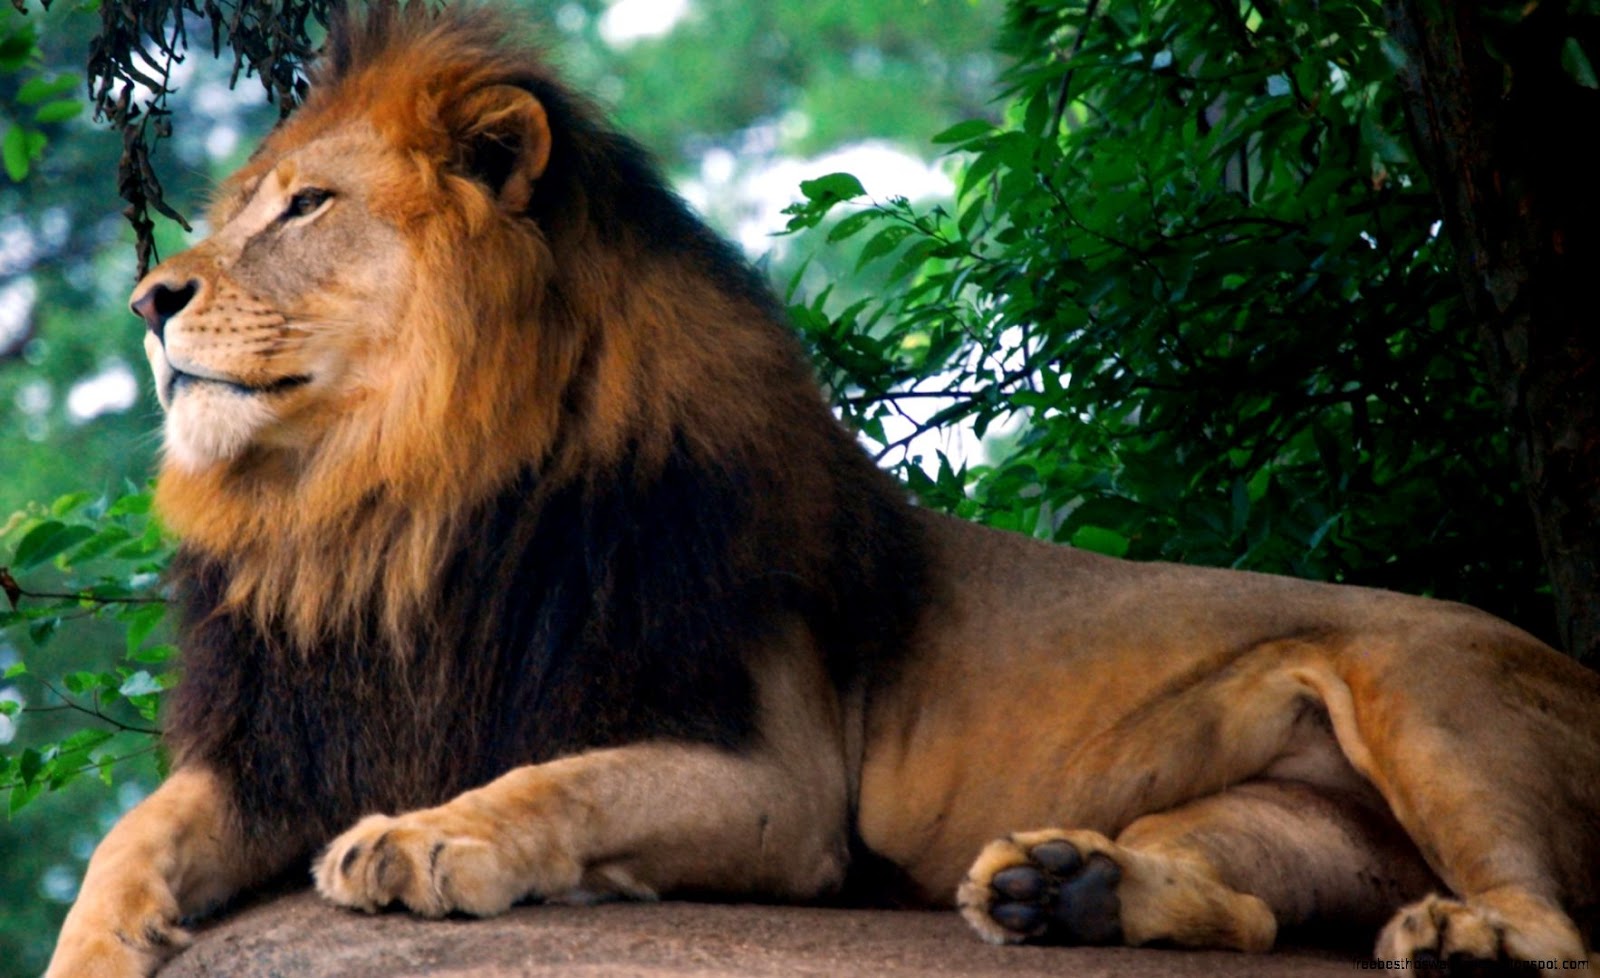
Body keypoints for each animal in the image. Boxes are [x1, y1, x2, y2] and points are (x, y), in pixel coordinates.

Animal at [47, 5, 1600, 977]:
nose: (149, 297)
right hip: (1285, 818)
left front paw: (431, 838)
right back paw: (1066, 888)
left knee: (1559, 921)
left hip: (1429, 699)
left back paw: (1473, 937)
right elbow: (130, 842)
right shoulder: (295, 742)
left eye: (307, 206)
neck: (389, 505)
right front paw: (95, 945)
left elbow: (560, 777)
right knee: (1253, 913)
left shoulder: (784, 786)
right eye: (234, 205)